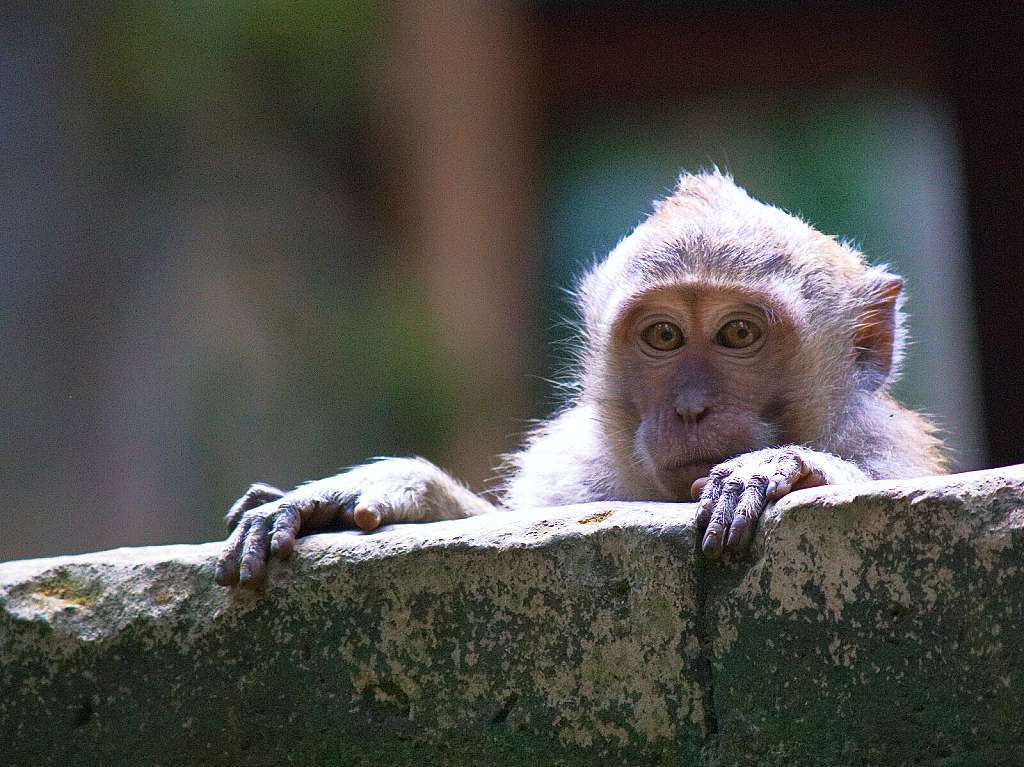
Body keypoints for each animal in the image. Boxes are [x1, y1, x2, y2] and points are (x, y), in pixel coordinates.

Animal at [214, 168, 942, 585]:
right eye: (664, 336)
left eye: (738, 334)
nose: (691, 407)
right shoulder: (567, 468)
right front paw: (386, 489)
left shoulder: (886, 448)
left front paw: (782, 467)